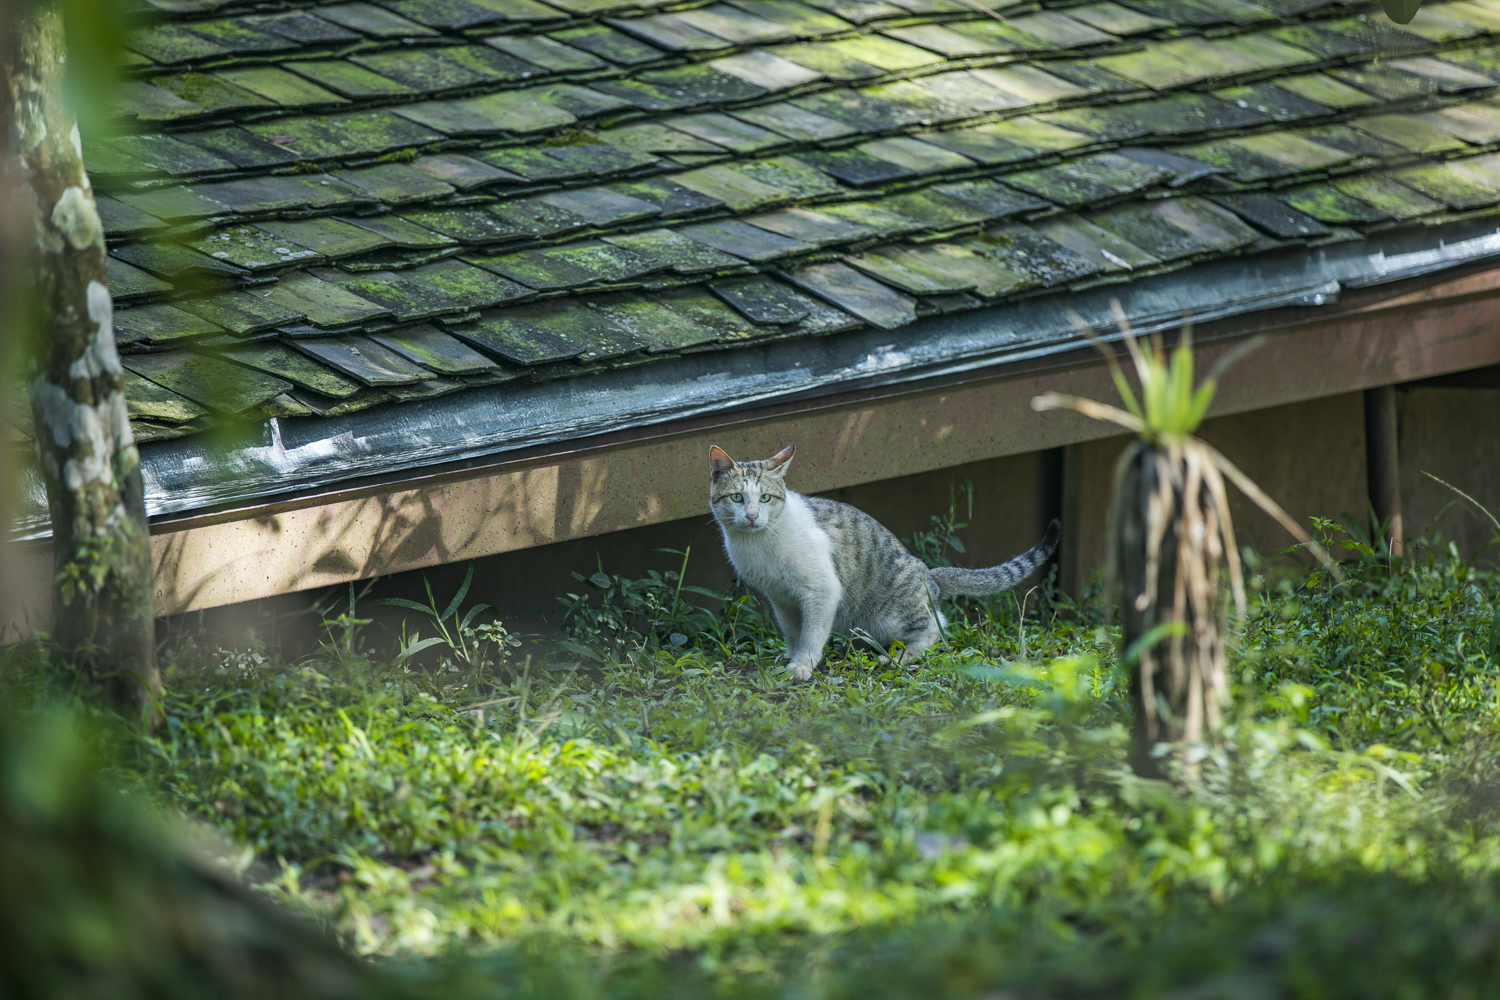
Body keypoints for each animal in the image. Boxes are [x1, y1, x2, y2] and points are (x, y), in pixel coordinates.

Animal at [708, 443, 1062, 680]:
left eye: (765, 498)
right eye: (737, 498)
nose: (752, 516)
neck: (758, 543)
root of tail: (929, 575)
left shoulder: (821, 591)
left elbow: (811, 634)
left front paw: (802, 665)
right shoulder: (781, 599)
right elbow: (793, 632)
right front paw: (791, 656)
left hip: (890, 614)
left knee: (936, 626)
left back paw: (898, 657)